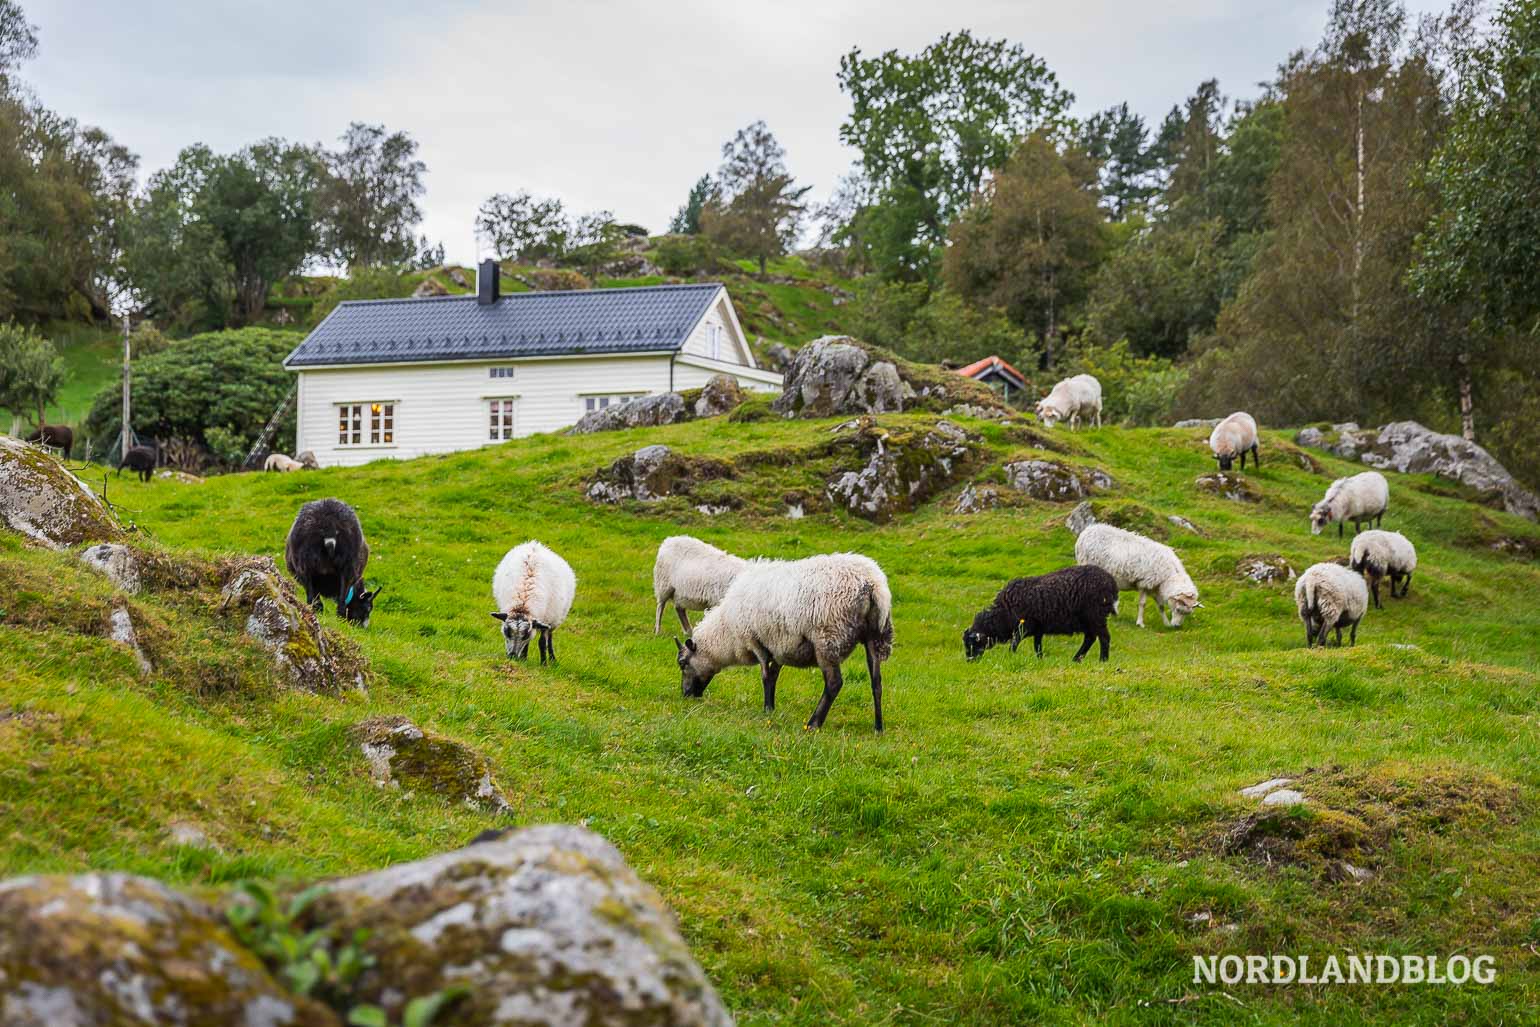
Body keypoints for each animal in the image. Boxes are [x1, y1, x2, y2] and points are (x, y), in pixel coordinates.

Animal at [284, 498, 380, 628]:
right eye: (367, 608)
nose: (363, 628)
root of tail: (329, 525)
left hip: (305, 566)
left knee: (317, 601)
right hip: (348, 566)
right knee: (339, 604)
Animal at [489, 538, 575, 668]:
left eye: (525, 635)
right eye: (507, 631)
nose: (512, 656)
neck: (522, 605)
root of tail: (534, 544)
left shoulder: (546, 620)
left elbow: (542, 642)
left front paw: (544, 664)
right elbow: (528, 643)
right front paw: (524, 659)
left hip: (555, 619)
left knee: (550, 638)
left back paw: (552, 659)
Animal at [671, 554, 893, 729]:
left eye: (682, 663)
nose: (686, 695)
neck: (727, 632)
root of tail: (873, 585)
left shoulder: (755, 640)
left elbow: (765, 676)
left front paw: (767, 708)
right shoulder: (779, 646)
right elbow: (774, 675)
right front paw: (771, 708)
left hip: (827, 638)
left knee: (834, 683)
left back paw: (813, 723)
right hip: (875, 636)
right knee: (876, 683)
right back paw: (878, 727)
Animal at [960, 563, 1121, 668]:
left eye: (972, 644)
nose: (969, 662)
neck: (1003, 614)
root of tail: (1111, 583)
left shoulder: (1023, 626)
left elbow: (1014, 644)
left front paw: (1010, 657)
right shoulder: (1038, 628)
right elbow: (1037, 647)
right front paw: (1040, 660)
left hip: (1095, 616)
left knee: (1104, 638)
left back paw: (1102, 660)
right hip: (1088, 620)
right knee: (1090, 638)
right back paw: (1076, 659)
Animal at [1071, 526, 1201, 631]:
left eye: (1187, 613)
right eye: (1178, 609)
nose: (1176, 627)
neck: (1168, 576)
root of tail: (1086, 531)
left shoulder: (1154, 587)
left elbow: (1161, 606)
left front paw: (1166, 623)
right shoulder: (1145, 584)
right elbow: (1142, 604)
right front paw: (1140, 623)